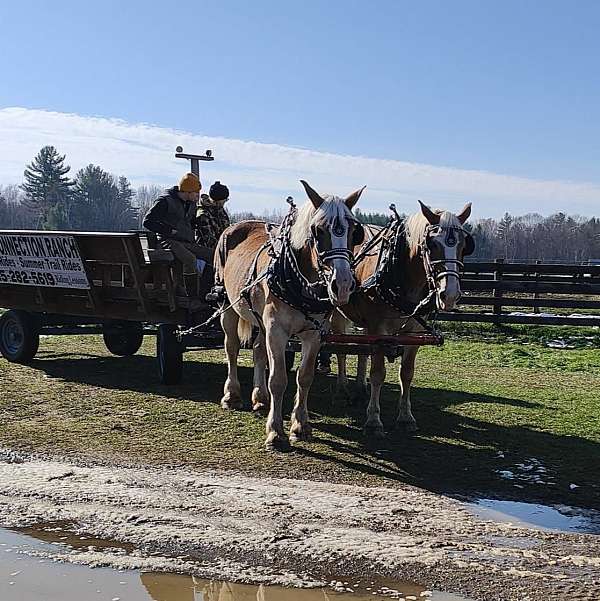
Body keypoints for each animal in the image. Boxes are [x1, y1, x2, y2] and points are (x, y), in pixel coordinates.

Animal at [216, 182, 366, 450]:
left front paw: (300, 426)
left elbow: (304, 377)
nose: (342, 284)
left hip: (260, 320)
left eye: (353, 231)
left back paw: (260, 398)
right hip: (228, 307)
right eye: (318, 230)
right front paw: (276, 432)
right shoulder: (277, 330)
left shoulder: (314, 333)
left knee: (258, 350)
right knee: (231, 347)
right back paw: (232, 395)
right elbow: (278, 379)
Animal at [332, 200, 474, 436]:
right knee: (340, 349)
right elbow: (378, 373)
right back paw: (342, 388)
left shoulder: (413, 332)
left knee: (362, 352)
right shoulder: (379, 330)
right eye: (432, 244)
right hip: (335, 312)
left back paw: (360, 388)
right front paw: (374, 420)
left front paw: (406, 417)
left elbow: (406, 373)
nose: (450, 294)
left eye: (464, 246)